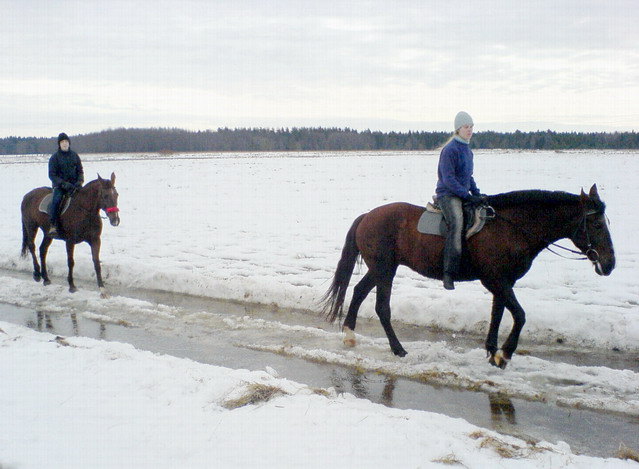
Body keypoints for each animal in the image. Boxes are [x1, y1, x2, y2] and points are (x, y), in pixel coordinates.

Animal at [322, 185, 616, 368]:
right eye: (596, 223)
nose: (610, 263)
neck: (513, 229)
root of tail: (367, 216)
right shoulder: (496, 280)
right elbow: (519, 315)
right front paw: (505, 354)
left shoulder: (502, 282)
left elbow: (497, 314)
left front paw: (492, 351)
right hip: (385, 269)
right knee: (382, 307)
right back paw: (398, 349)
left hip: (380, 268)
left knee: (359, 291)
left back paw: (350, 335)